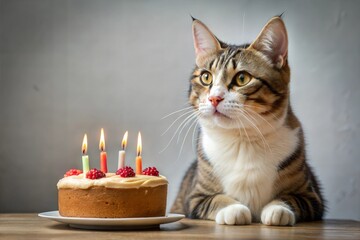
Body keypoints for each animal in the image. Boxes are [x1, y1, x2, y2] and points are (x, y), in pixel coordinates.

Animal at [170, 15, 324, 226]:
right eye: (206, 77)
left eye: (242, 78)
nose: (214, 98)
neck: (242, 139)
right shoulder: (194, 197)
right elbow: (215, 199)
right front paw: (233, 209)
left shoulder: (311, 196)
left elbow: (291, 198)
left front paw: (278, 209)